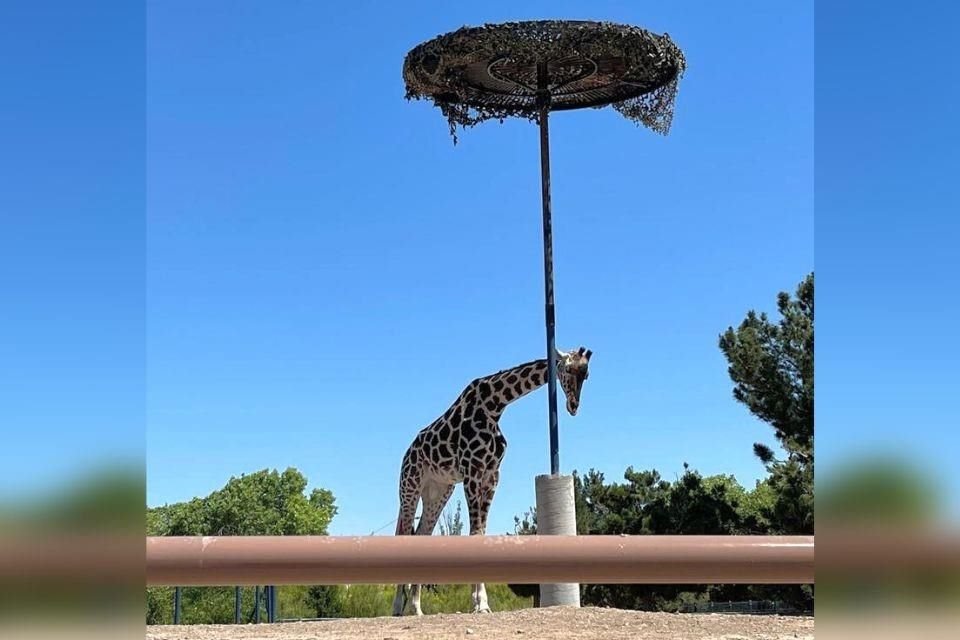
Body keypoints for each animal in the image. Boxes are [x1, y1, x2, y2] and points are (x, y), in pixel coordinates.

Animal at [392, 348, 592, 616]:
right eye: (569, 369)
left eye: (586, 374)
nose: (573, 406)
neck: (494, 404)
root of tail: (407, 452)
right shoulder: (472, 472)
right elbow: (475, 533)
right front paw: (479, 603)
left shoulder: (492, 476)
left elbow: (481, 534)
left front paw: (481, 603)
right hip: (409, 485)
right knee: (404, 533)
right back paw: (397, 607)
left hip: (438, 491)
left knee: (422, 535)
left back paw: (416, 608)